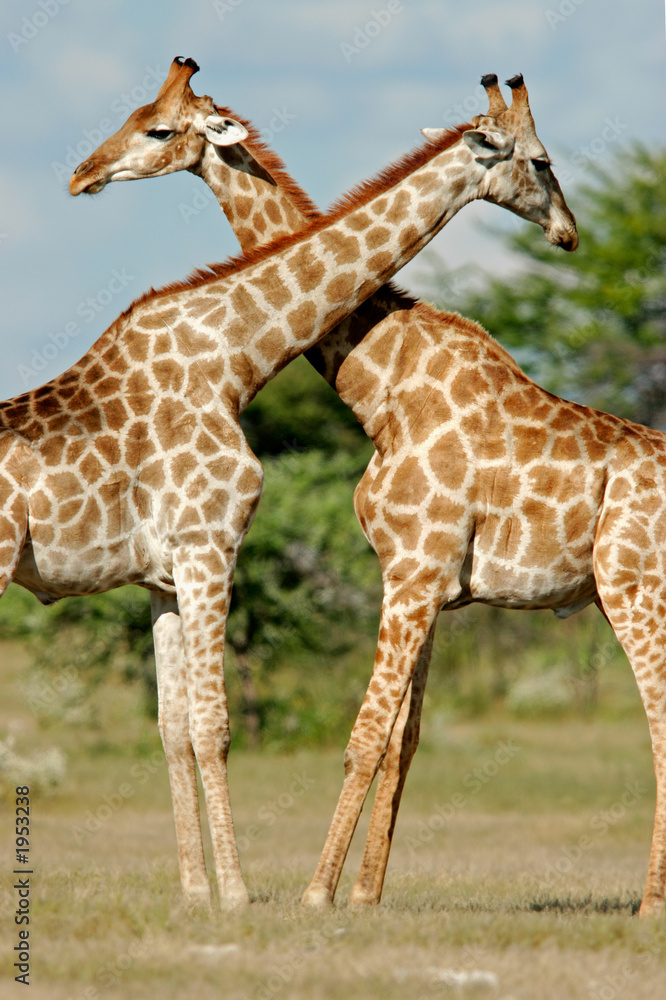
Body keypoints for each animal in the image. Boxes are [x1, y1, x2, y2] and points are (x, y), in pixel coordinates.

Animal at [79, 64, 666, 915]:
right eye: (134, 117)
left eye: (158, 129)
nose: (568, 233)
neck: (382, 384)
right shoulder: (425, 580)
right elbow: (401, 740)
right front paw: (365, 897)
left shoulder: (413, 571)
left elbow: (363, 737)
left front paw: (317, 895)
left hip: (632, 587)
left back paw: (651, 903)